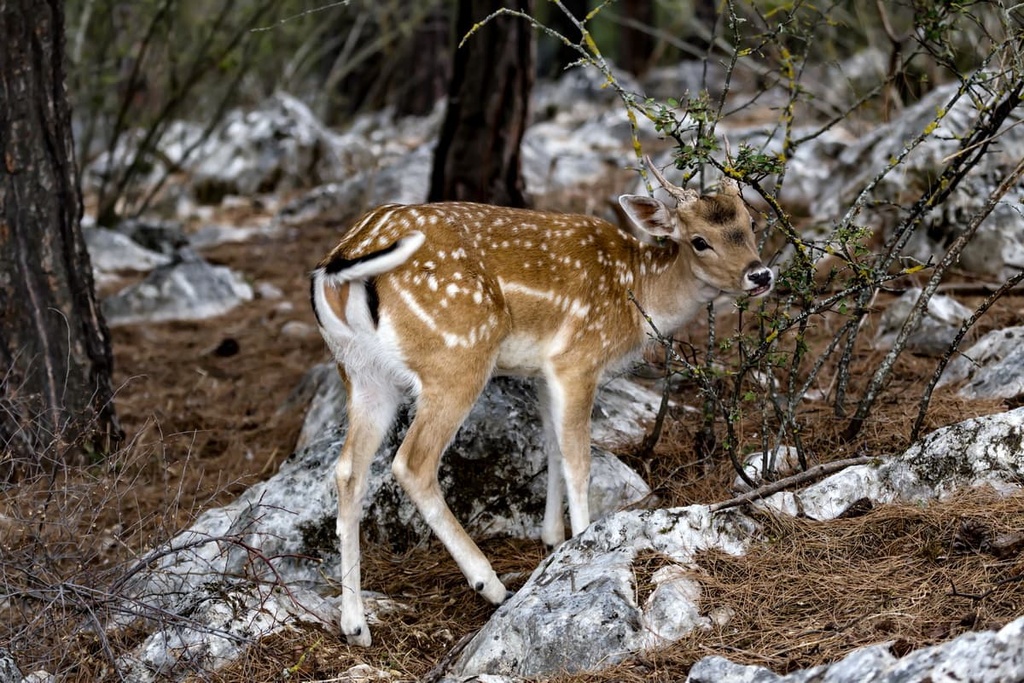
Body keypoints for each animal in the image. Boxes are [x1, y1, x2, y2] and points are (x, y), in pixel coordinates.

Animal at [309, 158, 774, 646]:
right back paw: (489, 584)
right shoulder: (578, 360)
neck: (637, 295)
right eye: (699, 240)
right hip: (456, 357)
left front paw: (553, 538)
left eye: (750, 222)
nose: (761, 275)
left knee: (348, 472)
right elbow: (579, 460)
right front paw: (585, 541)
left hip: (362, 375)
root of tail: (337, 267)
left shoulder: (543, 372)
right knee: (412, 463)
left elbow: (551, 447)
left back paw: (355, 625)